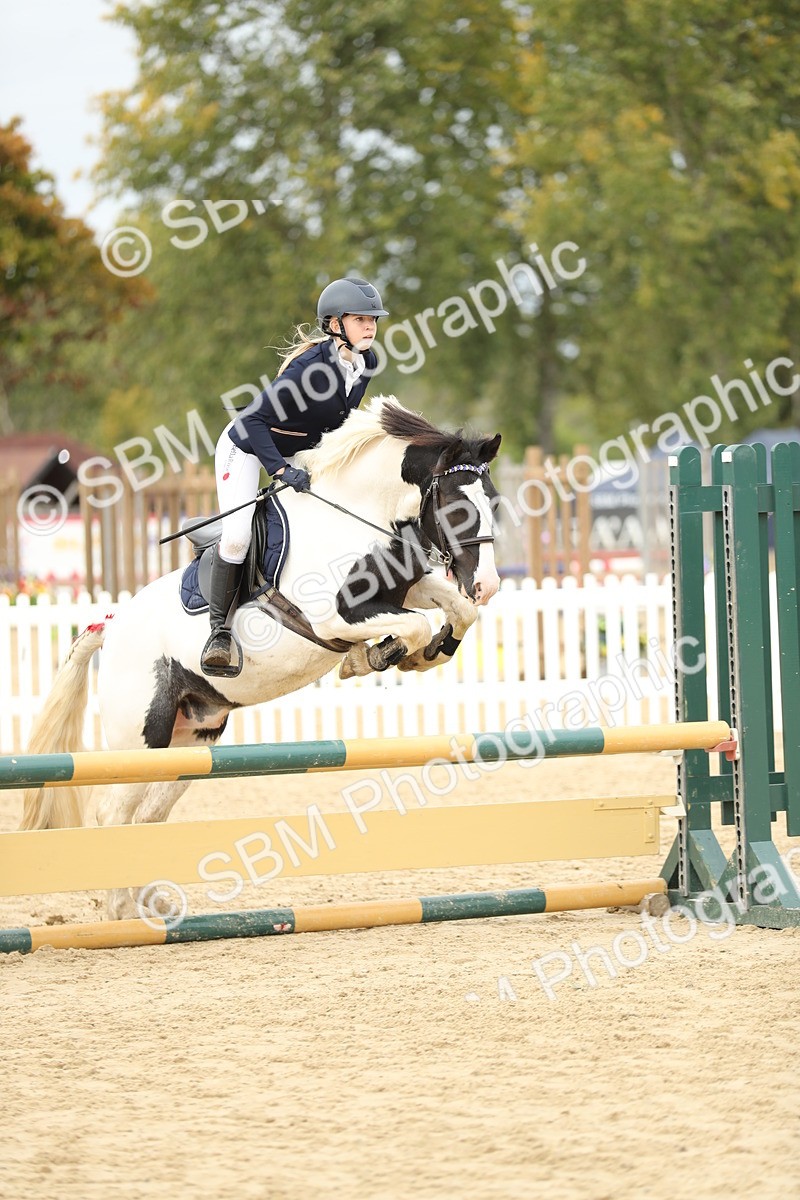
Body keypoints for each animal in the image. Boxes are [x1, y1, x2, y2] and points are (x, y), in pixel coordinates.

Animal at [21, 397, 502, 919]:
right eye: (456, 508)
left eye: (493, 502)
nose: (488, 585)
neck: (355, 515)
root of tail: (111, 627)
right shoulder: (333, 617)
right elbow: (412, 625)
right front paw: (372, 657)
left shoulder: (404, 588)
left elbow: (456, 611)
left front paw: (425, 654)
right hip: (140, 738)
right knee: (114, 811)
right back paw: (121, 913)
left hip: (191, 739)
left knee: (148, 814)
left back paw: (150, 905)